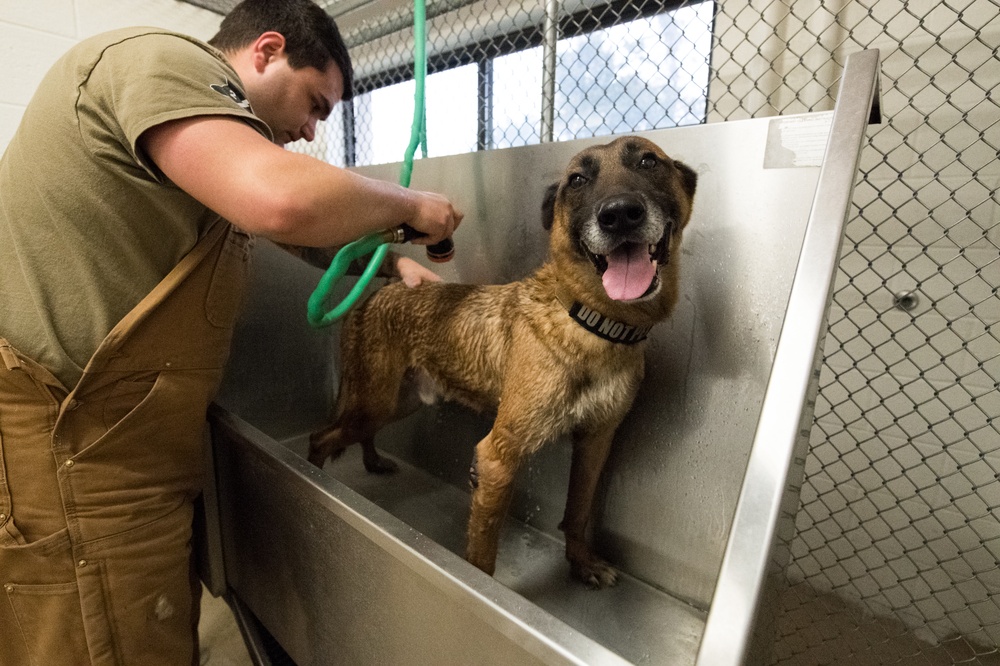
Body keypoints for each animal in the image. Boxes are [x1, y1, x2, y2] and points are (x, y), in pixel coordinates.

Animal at [308, 136, 700, 588]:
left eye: (649, 161)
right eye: (577, 180)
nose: (619, 214)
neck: (591, 321)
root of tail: (375, 293)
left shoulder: (596, 442)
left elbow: (578, 512)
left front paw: (582, 563)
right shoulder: (497, 457)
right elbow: (482, 553)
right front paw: (479, 587)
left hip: (394, 402)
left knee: (358, 432)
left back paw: (371, 461)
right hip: (374, 402)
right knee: (321, 437)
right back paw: (313, 478)